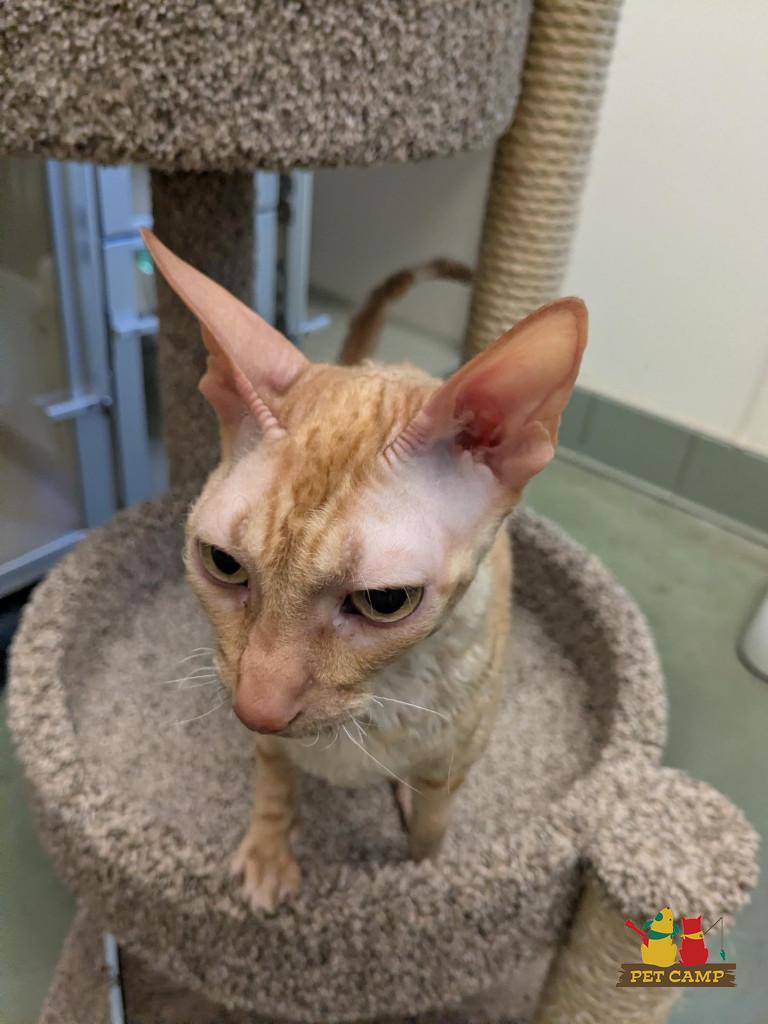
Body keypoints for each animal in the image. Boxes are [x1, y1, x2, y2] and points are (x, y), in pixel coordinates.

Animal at [142, 229, 587, 912]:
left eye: (385, 602)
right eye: (223, 564)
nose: (256, 709)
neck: (375, 707)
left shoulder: (451, 762)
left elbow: (431, 832)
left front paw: (420, 888)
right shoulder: (267, 743)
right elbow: (274, 784)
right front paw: (269, 851)